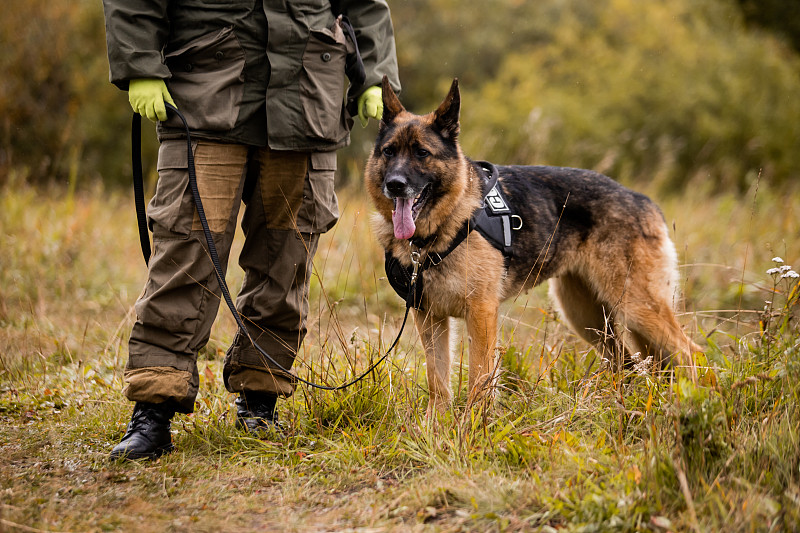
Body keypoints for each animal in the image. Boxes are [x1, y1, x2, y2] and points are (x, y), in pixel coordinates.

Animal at [364, 77, 700, 414]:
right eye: (389, 152)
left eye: (422, 153)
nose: (395, 185)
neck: (438, 231)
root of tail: (644, 201)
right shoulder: (430, 319)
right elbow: (439, 384)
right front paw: (436, 426)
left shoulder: (481, 313)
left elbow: (479, 381)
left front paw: (474, 424)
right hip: (587, 317)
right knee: (628, 364)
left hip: (635, 307)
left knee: (690, 352)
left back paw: (696, 402)